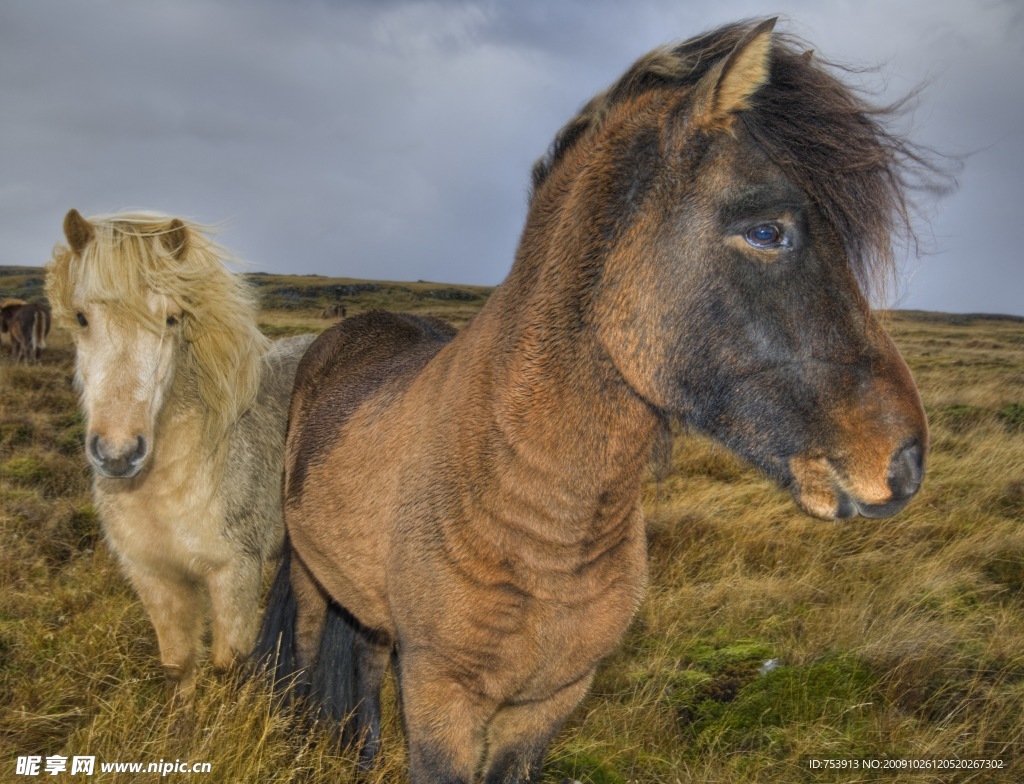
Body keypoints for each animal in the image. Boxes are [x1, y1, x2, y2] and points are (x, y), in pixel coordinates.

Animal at [48, 210, 311, 695]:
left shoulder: (235, 573)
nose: (118, 453)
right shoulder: (155, 577)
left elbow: (227, 668)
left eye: (172, 319)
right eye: (81, 317)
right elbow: (179, 665)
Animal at [253, 18, 937, 784]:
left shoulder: (550, 702)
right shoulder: (440, 694)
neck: (539, 514)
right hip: (312, 578)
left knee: (366, 659)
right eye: (767, 230)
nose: (905, 462)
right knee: (309, 648)